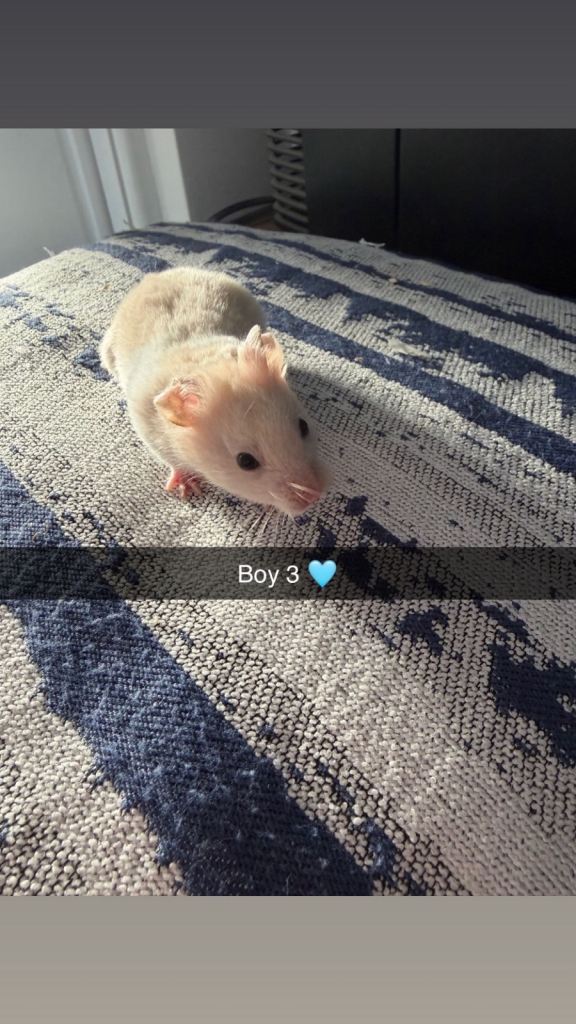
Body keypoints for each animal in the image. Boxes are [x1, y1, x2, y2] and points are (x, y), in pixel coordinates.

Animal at [99, 267, 330, 516]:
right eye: (245, 461)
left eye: (303, 426)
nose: (315, 496)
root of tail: (155, 276)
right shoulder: (149, 429)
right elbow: (173, 462)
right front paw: (187, 489)